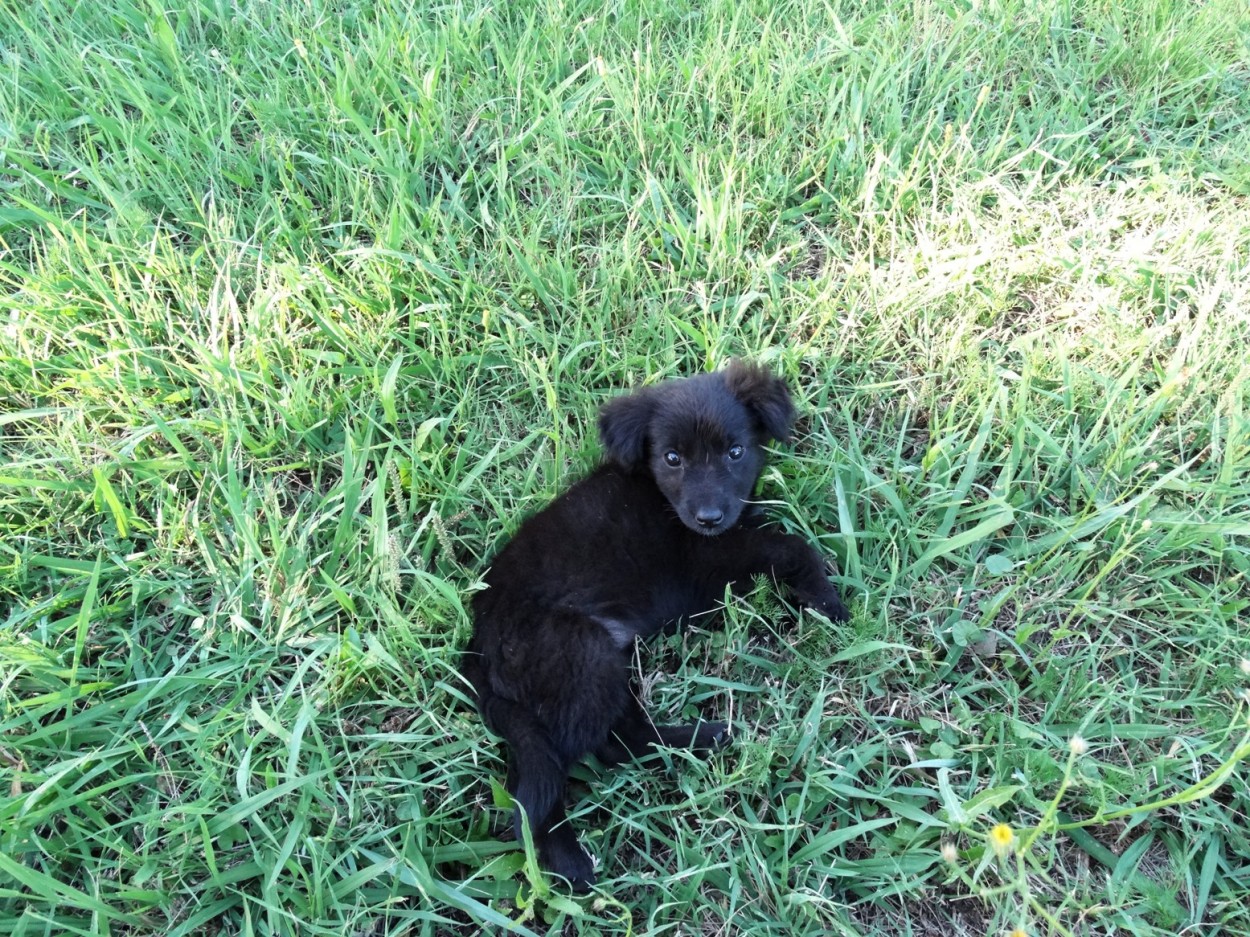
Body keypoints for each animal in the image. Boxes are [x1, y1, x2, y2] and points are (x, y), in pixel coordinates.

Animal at [467, 362, 850, 889]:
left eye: (735, 452)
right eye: (671, 458)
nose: (709, 517)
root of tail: (479, 645)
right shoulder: (706, 564)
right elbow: (791, 546)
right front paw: (828, 602)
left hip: (603, 661)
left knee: (618, 739)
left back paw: (700, 741)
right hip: (582, 655)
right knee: (559, 770)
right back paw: (569, 861)